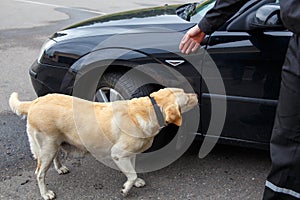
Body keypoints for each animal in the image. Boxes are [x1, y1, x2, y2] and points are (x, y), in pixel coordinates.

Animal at [8, 88, 198, 199]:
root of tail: (35, 102)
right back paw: (45, 193)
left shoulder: (130, 154)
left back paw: (60, 168)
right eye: (187, 99)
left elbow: (133, 170)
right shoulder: (118, 154)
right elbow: (131, 174)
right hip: (46, 146)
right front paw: (126, 189)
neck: (151, 109)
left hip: (54, 143)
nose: (196, 94)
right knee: (39, 173)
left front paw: (135, 182)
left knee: (54, 158)